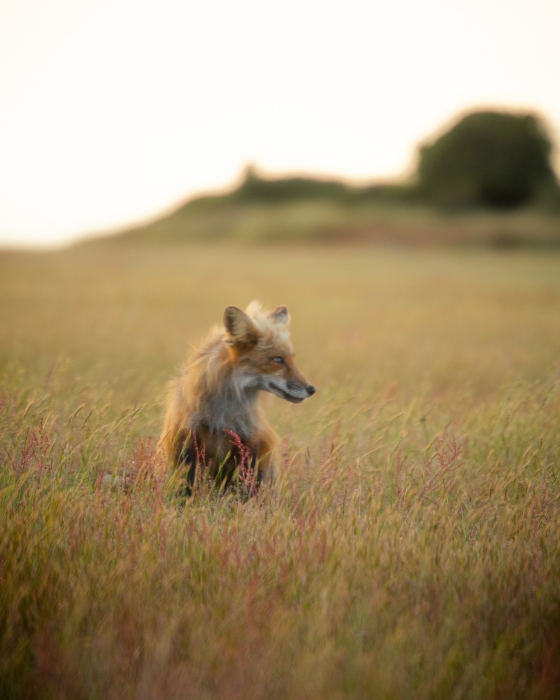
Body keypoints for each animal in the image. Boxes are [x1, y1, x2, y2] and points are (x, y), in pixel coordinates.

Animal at [161, 301, 316, 494]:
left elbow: (247, 487)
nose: (311, 389)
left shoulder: (250, 441)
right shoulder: (187, 437)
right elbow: (186, 483)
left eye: (292, 358)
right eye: (278, 359)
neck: (223, 413)